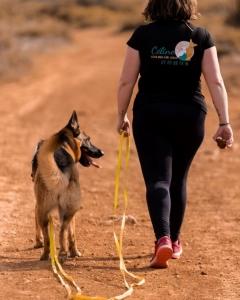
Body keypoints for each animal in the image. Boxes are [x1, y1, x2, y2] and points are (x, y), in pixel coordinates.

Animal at [31, 111, 103, 262]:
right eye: (88, 139)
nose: (102, 152)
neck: (64, 146)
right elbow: (72, 234)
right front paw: (73, 251)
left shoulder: (38, 207)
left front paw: (38, 243)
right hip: (70, 210)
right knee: (63, 231)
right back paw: (67, 252)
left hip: (44, 211)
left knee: (50, 237)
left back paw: (46, 254)